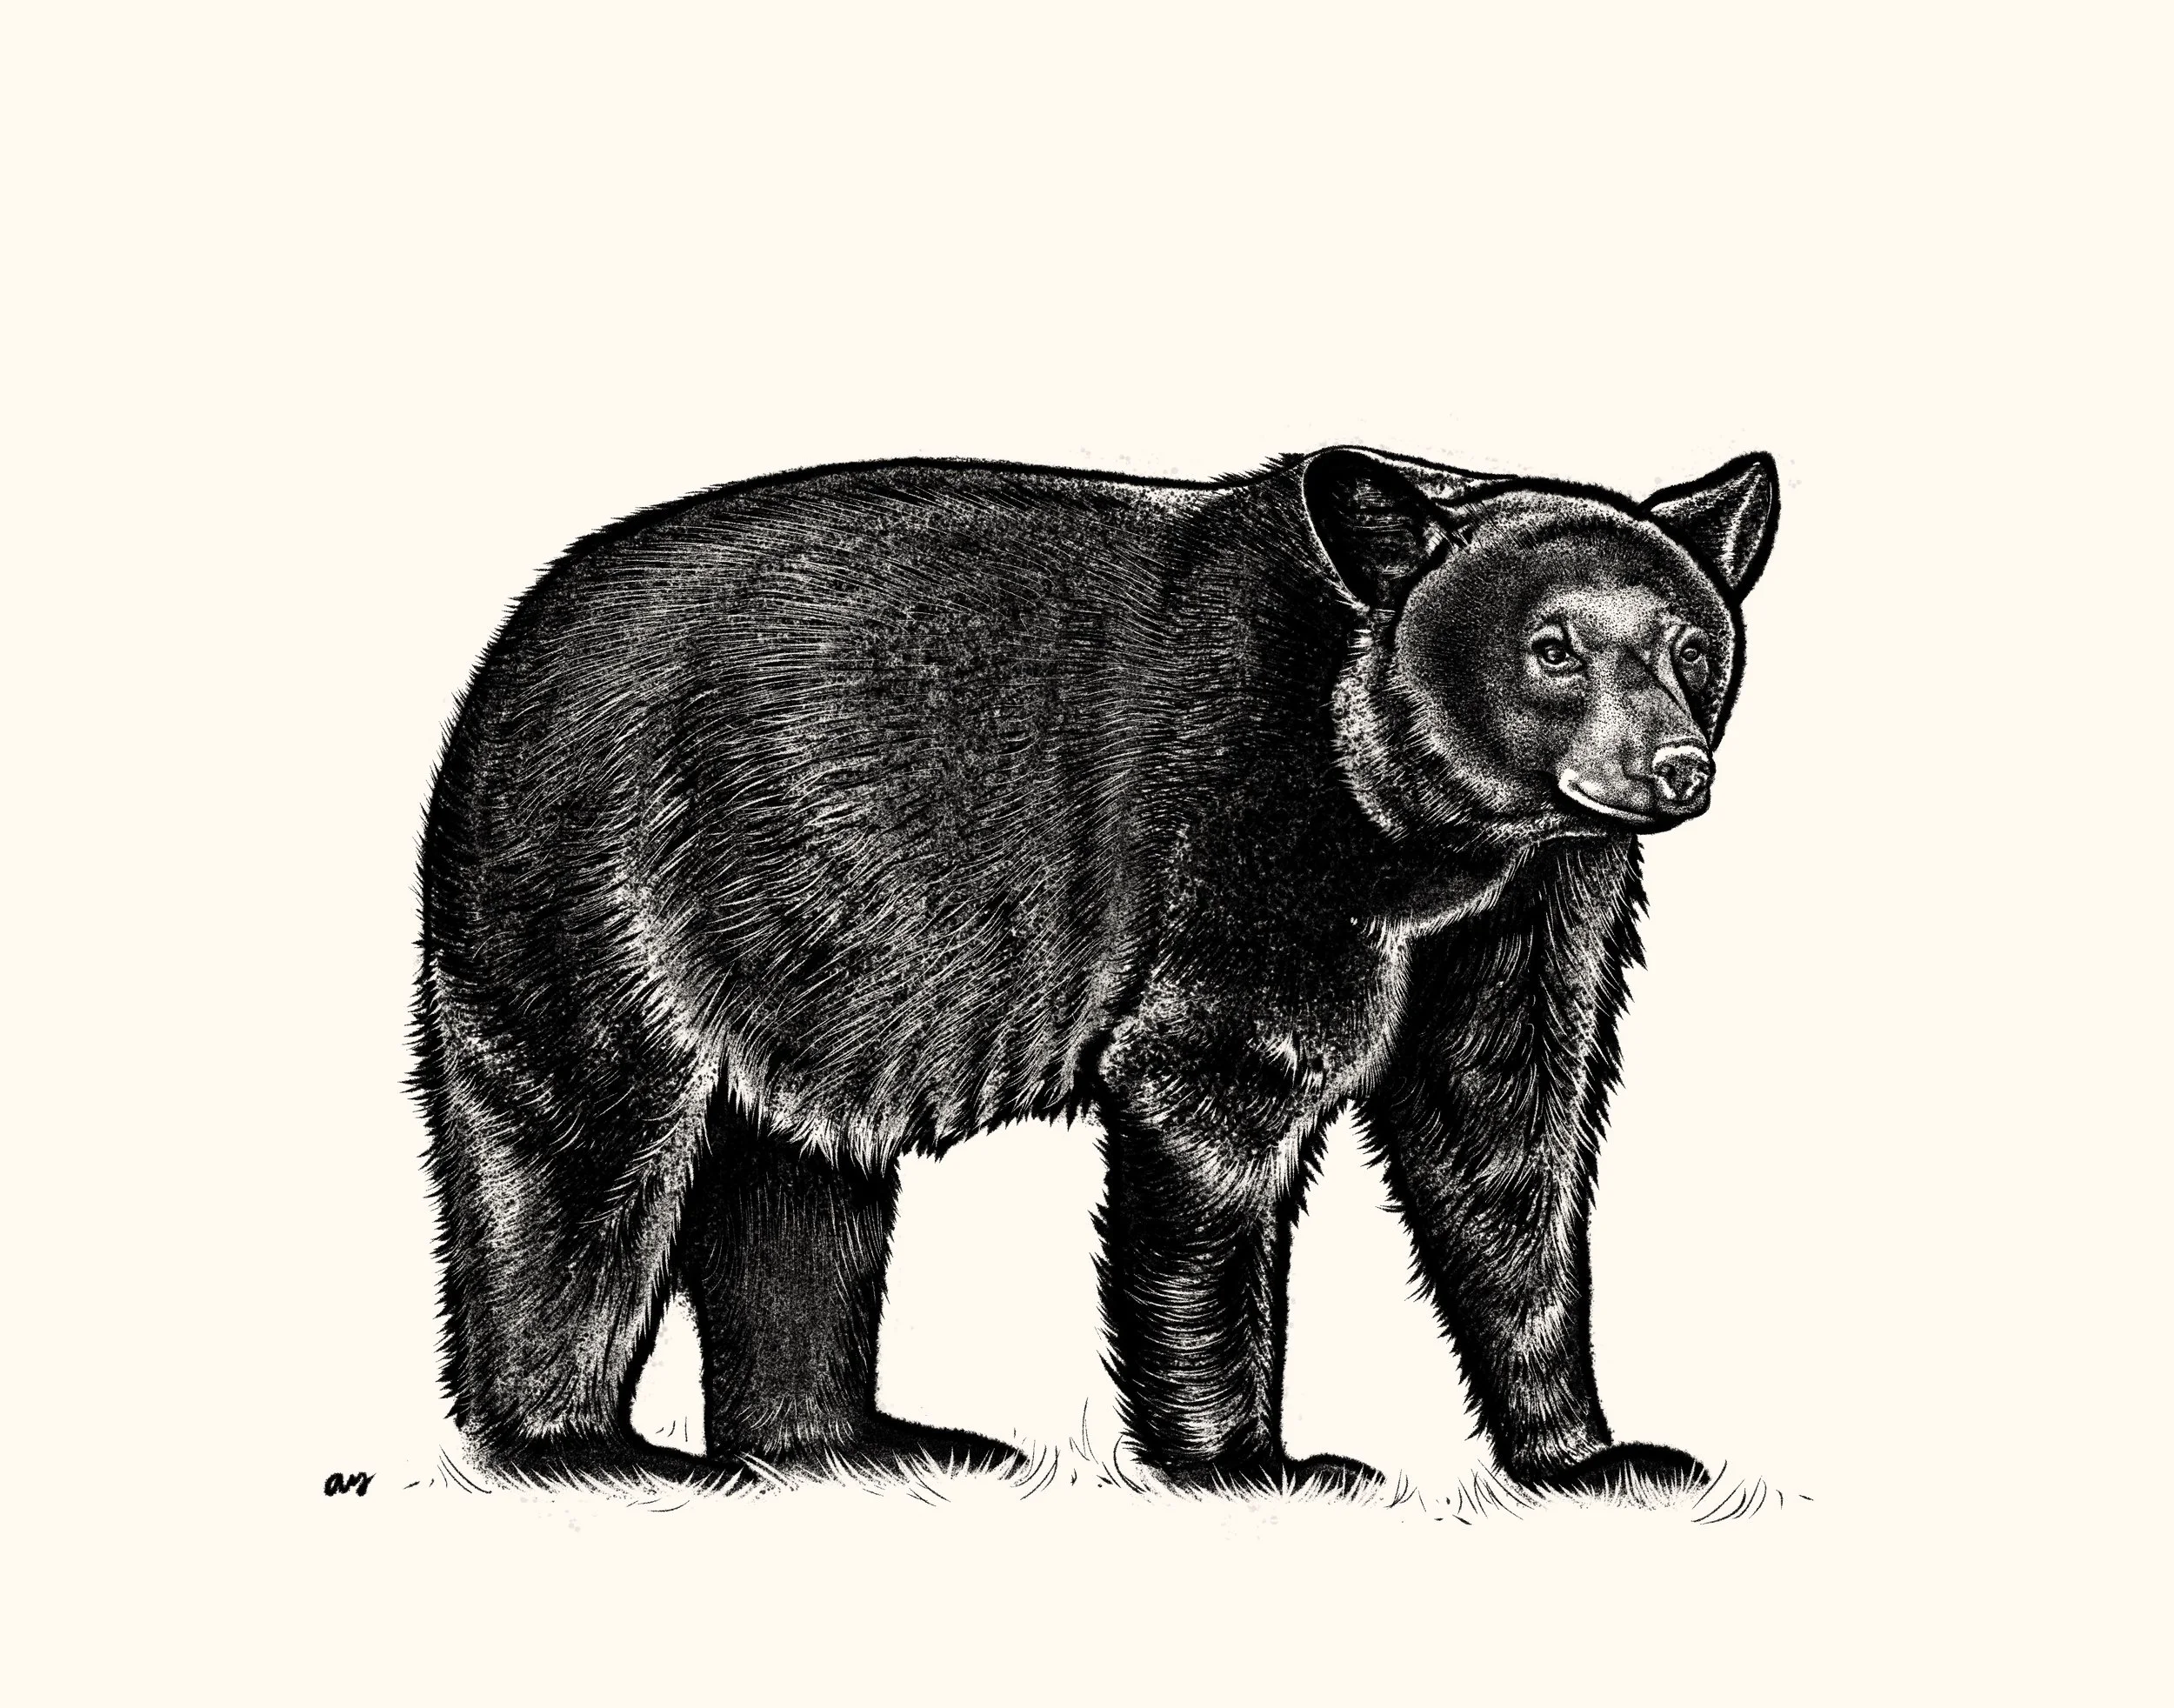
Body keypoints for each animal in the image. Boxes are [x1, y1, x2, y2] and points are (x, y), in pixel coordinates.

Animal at [411, 442, 1779, 1499]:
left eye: (1689, 646)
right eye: (1553, 647)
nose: (1672, 769)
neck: (1416, 827)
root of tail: (501, 661)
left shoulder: (1529, 897)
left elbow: (1505, 1127)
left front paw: (1590, 1451)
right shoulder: (1235, 827)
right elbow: (1216, 1098)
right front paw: (1251, 1459)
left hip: (796, 957)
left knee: (798, 1174)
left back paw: (849, 1441)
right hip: (607, 879)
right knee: (582, 1136)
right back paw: (580, 1445)